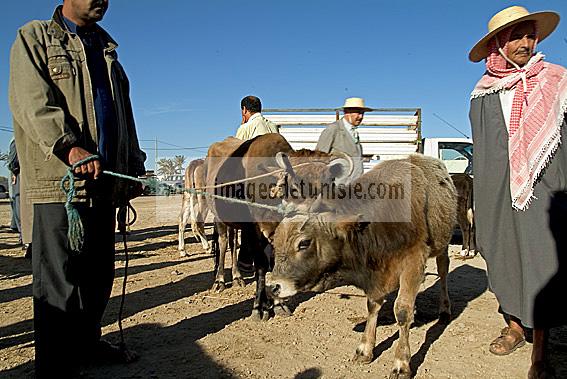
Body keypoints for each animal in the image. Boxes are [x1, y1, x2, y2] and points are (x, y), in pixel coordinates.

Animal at [266, 155, 458, 379]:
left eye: (304, 243)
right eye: (274, 242)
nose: (273, 287)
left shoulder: (413, 261)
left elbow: (402, 311)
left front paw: (401, 362)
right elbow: (373, 306)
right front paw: (365, 349)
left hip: (442, 246)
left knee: (443, 271)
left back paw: (444, 309)